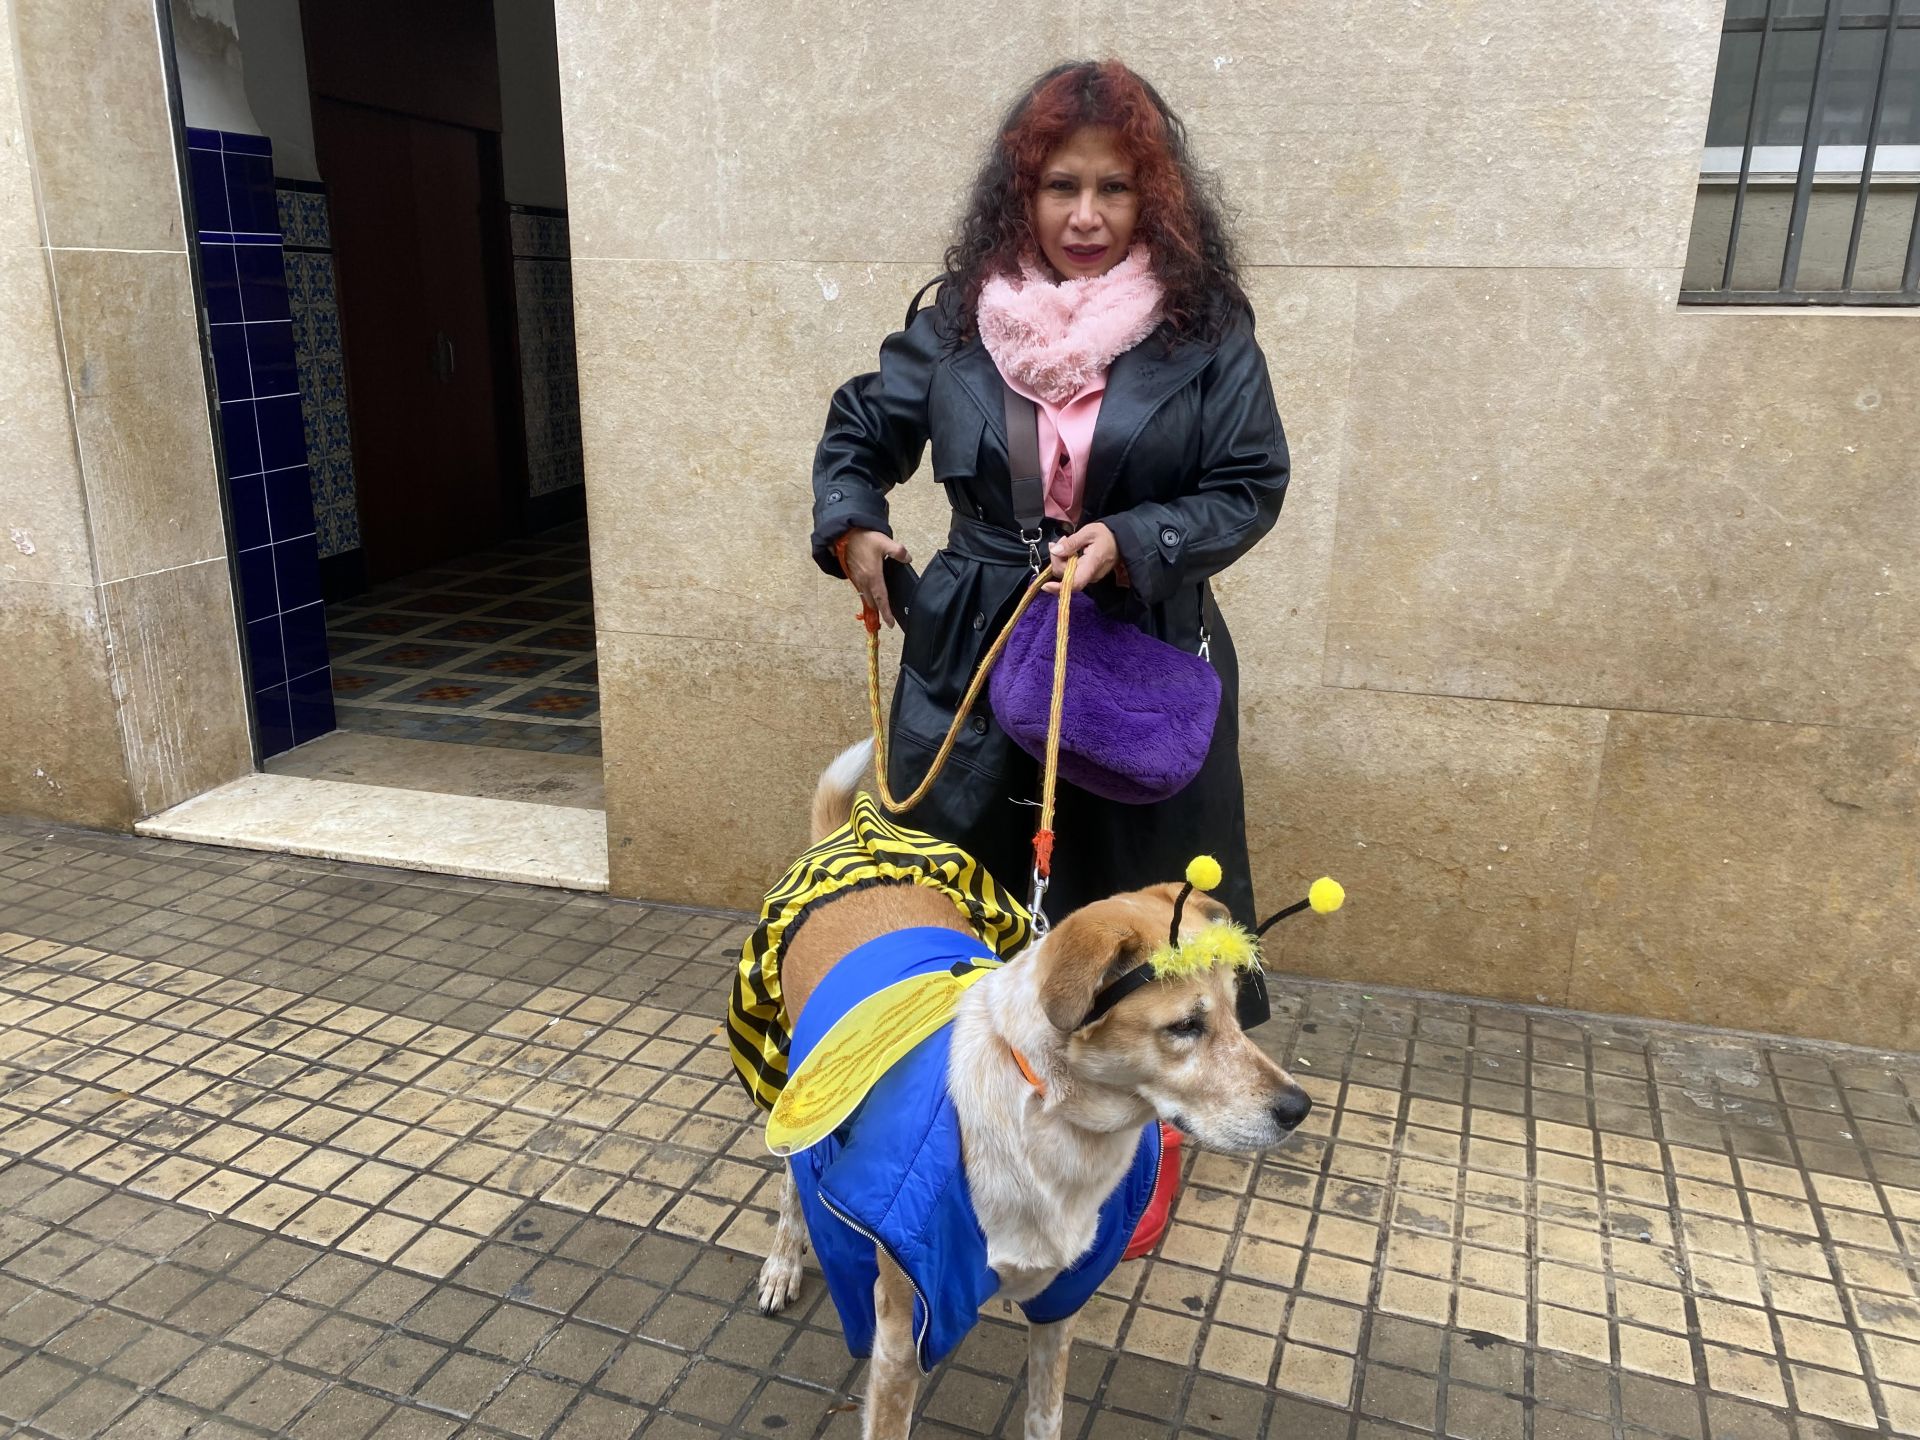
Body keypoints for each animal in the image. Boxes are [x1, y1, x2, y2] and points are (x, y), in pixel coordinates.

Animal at [748, 744, 1305, 1440]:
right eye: (1184, 1026)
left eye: (1234, 1013)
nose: (1299, 1108)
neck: (1055, 1123)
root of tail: (842, 843)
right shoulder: (902, 1328)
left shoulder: (1062, 1299)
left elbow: (1045, 1414)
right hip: (795, 1096)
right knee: (790, 1185)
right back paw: (782, 1265)